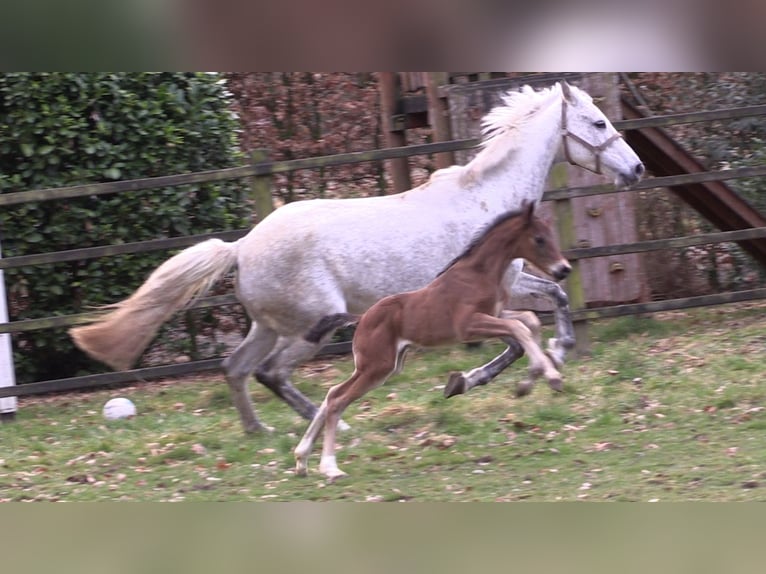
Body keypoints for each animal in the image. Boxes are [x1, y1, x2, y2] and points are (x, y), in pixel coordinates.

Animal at [69, 81, 644, 434]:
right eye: (596, 123)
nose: (636, 169)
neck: (488, 200)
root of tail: (242, 247)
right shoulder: (496, 293)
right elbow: (524, 329)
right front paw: (492, 376)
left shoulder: (508, 291)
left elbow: (553, 302)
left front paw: (548, 357)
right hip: (317, 322)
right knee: (272, 374)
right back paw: (333, 423)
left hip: (269, 326)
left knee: (236, 368)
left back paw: (260, 431)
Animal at [294, 202, 571, 480]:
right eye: (539, 239)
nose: (564, 269)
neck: (478, 273)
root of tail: (361, 318)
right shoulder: (467, 326)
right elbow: (519, 327)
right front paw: (552, 377)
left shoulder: (494, 314)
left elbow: (529, 321)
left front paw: (532, 378)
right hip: (376, 367)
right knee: (338, 400)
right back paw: (330, 467)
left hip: (379, 367)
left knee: (332, 393)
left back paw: (302, 460)